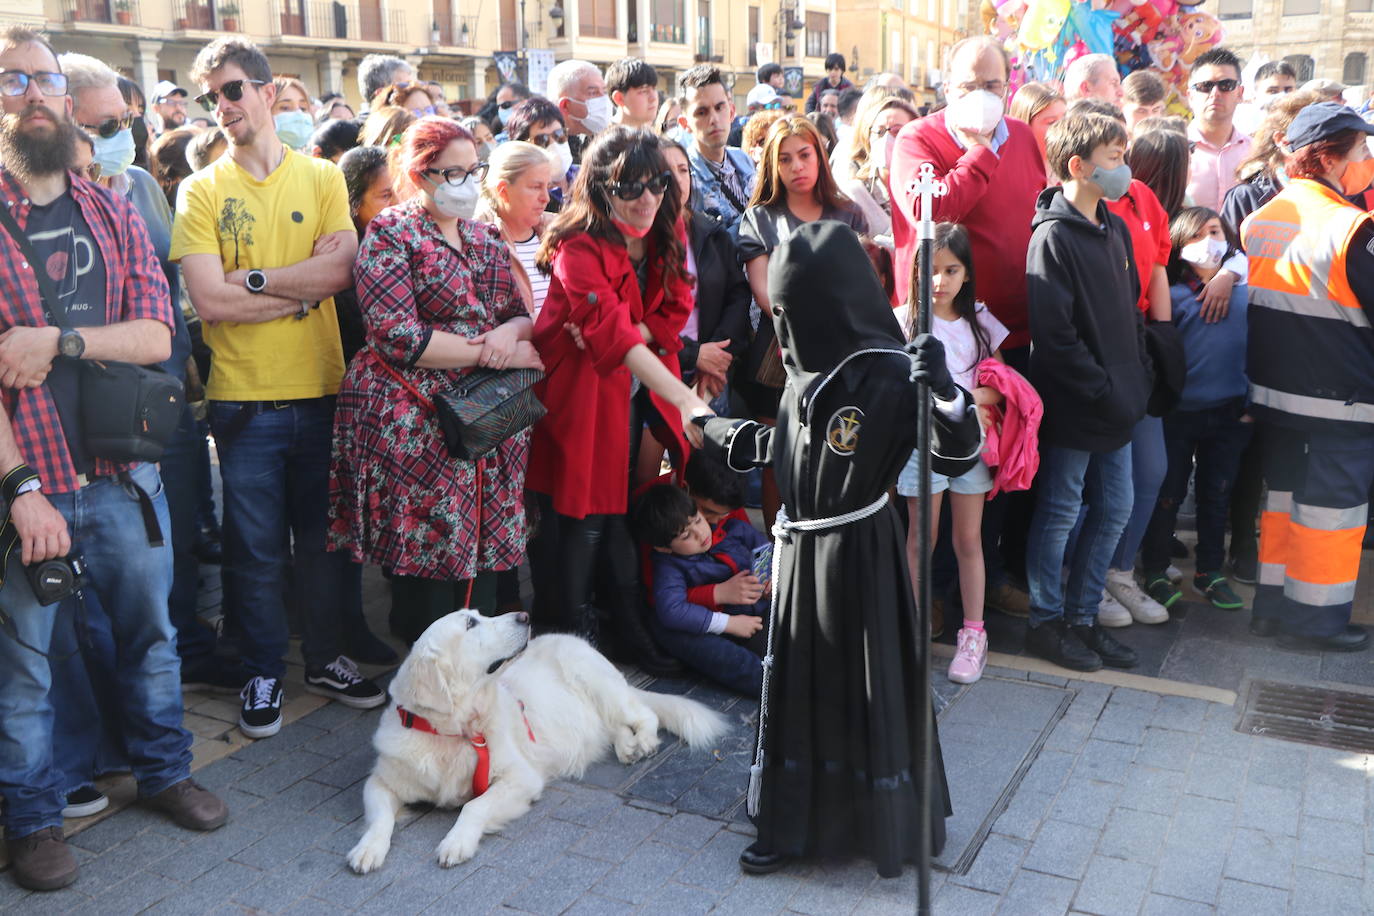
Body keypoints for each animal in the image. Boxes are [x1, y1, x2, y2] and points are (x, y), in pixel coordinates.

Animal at [348, 609, 725, 873]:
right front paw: (367, 849)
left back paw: (642, 742)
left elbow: (474, 806)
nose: (525, 615)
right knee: (614, 727)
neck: (453, 731)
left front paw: (457, 842)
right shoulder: (380, 781)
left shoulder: (521, 777)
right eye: (471, 623)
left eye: (479, 613)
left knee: (643, 713)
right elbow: (380, 818)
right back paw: (626, 747)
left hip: (595, 678)